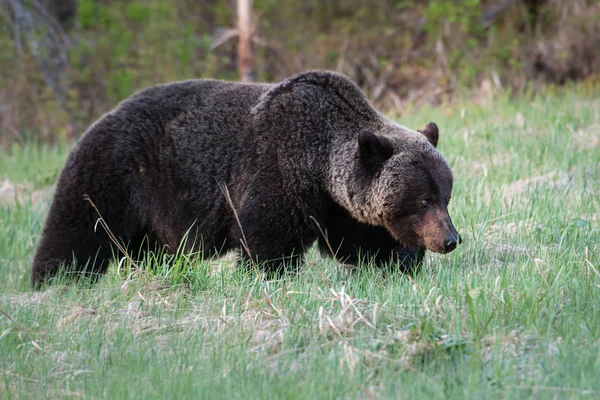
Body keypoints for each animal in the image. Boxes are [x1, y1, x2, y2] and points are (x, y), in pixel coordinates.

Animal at [30, 69, 462, 288]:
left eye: (446, 196)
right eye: (423, 199)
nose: (450, 239)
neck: (318, 162)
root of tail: (97, 121)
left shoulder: (336, 205)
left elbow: (361, 240)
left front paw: (402, 261)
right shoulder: (276, 170)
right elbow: (265, 236)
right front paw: (272, 276)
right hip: (113, 176)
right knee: (76, 233)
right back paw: (53, 281)